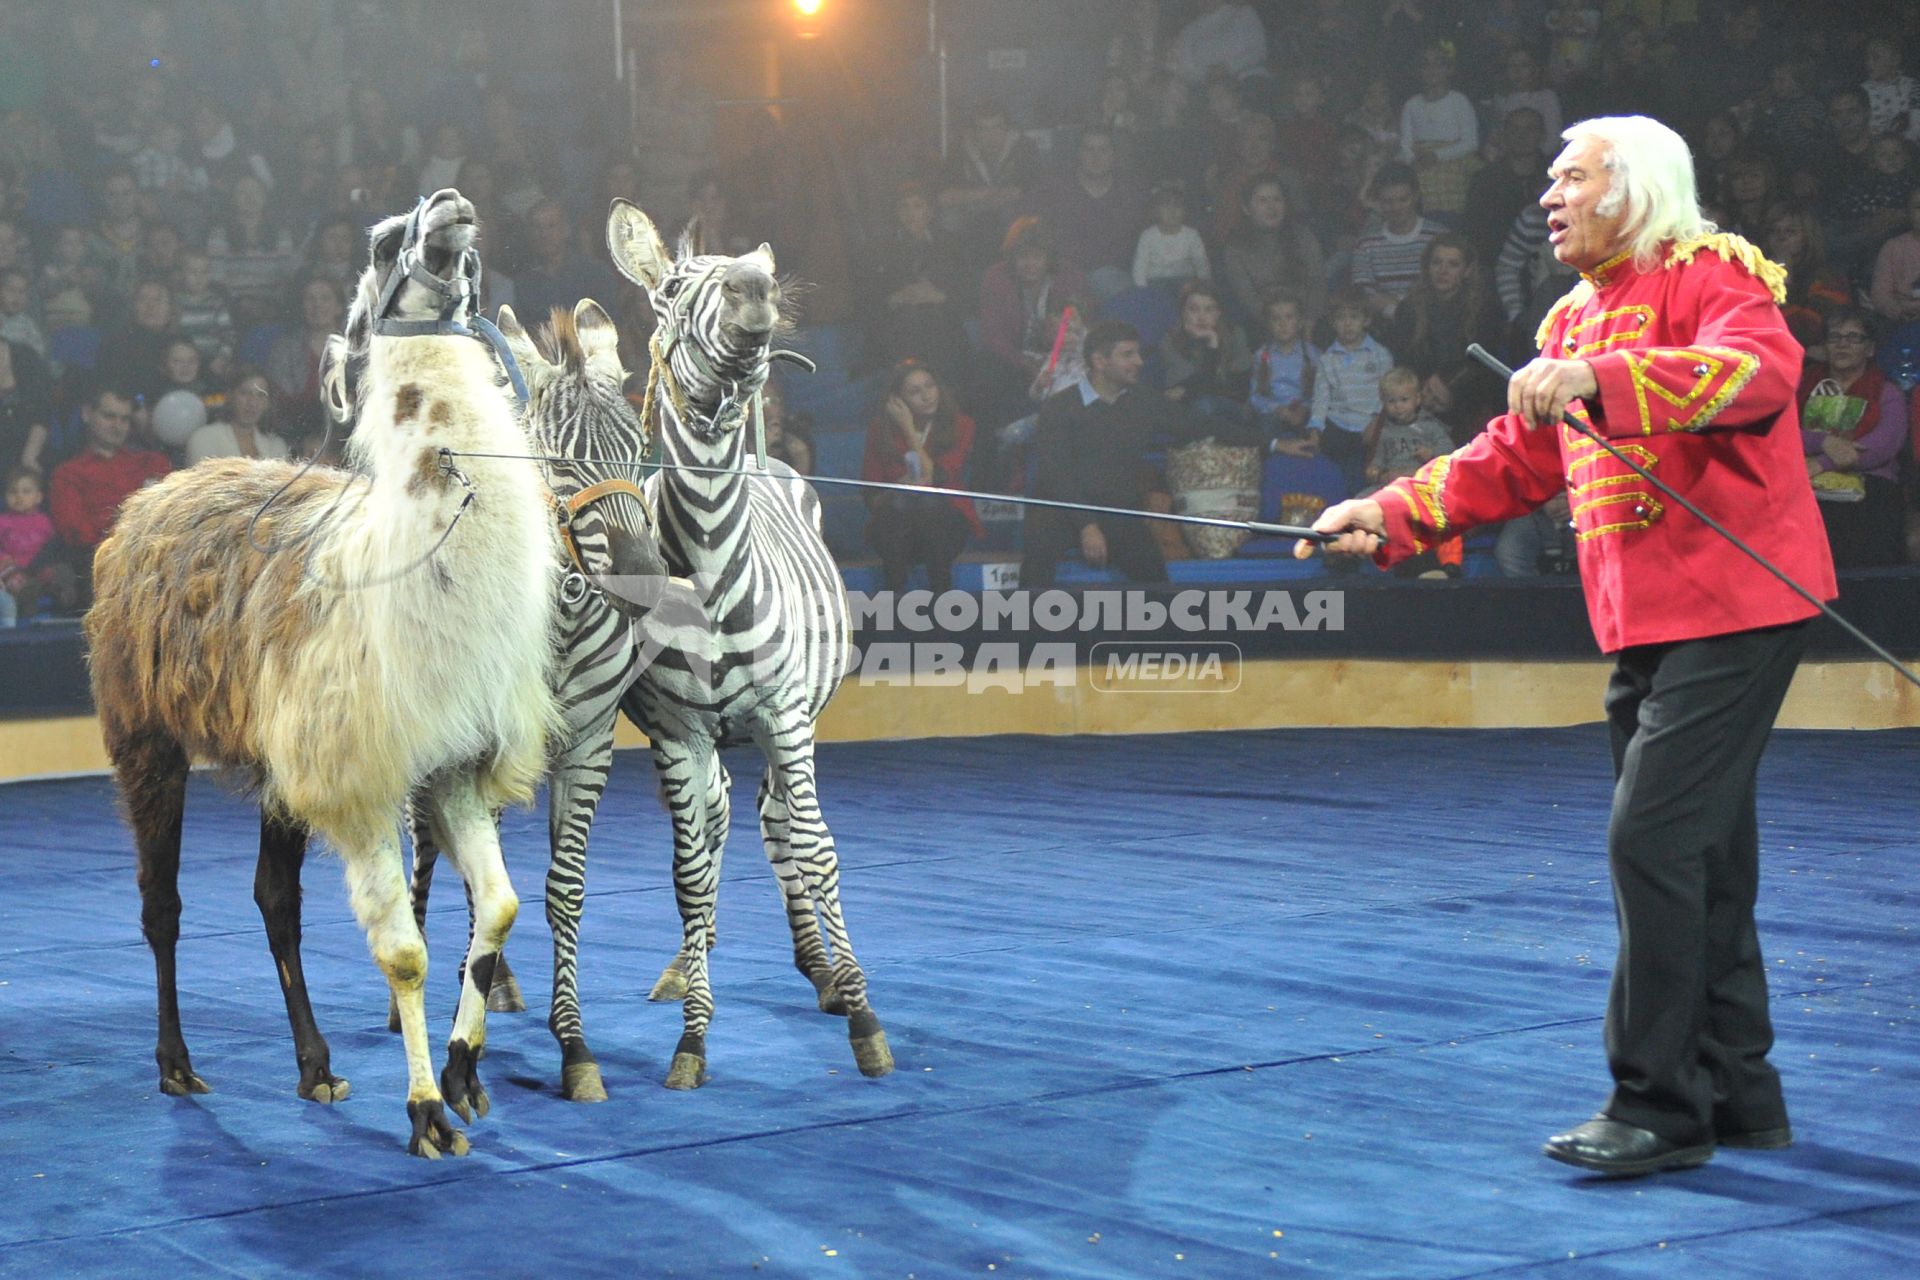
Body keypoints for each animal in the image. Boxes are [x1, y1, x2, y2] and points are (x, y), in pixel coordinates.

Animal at [602, 200, 894, 1090]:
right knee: (729, 819)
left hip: (788, 724)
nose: (755, 287)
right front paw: (694, 1034)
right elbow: (690, 873)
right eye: (669, 289)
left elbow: (819, 849)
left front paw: (864, 1016)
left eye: (756, 271)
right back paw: (695, 964)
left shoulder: (786, 716)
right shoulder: (678, 732)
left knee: (778, 822)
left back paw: (825, 971)